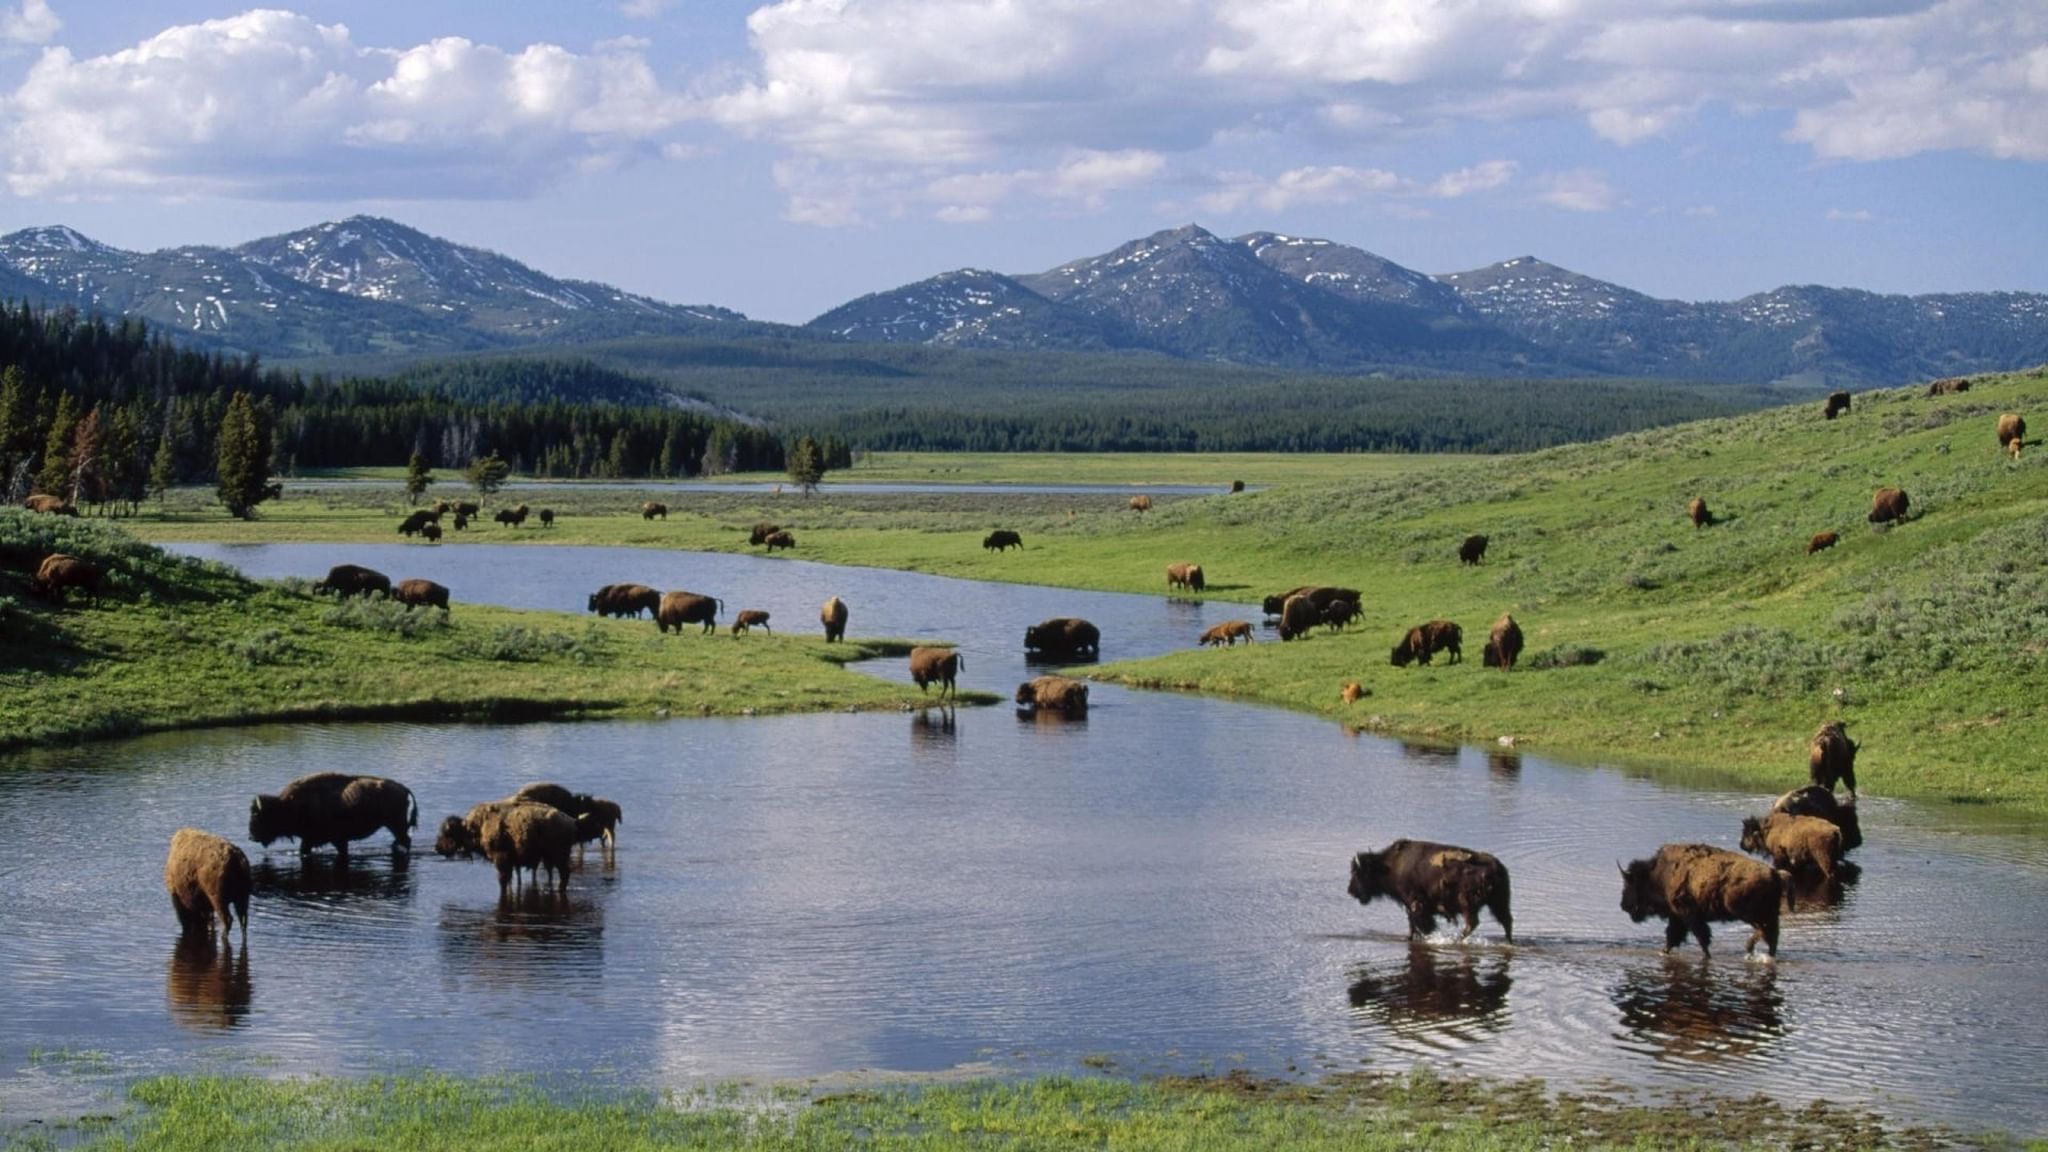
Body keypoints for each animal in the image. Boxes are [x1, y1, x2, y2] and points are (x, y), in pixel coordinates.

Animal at [249, 766, 417, 856]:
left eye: (257, 815)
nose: (251, 837)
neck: (287, 804)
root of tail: (404, 789)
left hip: (396, 825)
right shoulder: (315, 840)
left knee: (405, 840)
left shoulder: (331, 839)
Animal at [1351, 832, 1515, 942]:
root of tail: (1496, 867)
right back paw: (1508, 941)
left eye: (1358, 873)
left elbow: (1421, 924)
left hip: (1468, 903)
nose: (1351, 891)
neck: (1390, 866)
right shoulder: (1410, 906)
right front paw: (1410, 937)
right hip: (1498, 903)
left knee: (1473, 923)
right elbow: (1411, 924)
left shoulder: (1416, 904)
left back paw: (1458, 940)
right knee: (1506, 921)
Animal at [1613, 840, 1777, 955]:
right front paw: (1664, 951)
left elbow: (1700, 938)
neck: (1659, 875)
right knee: (1772, 937)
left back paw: (1750, 947)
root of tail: (1773, 874)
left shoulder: (1688, 915)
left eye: (1630, 884)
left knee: (1765, 932)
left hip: (1749, 914)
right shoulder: (1678, 917)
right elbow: (1673, 937)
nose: (1623, 905)